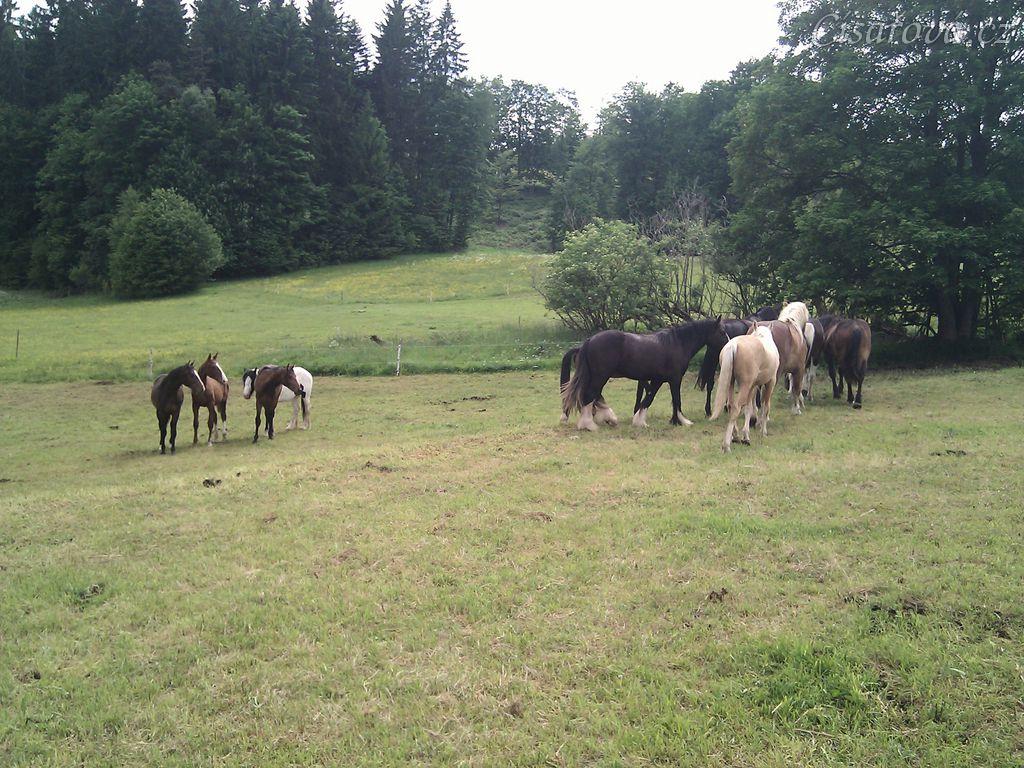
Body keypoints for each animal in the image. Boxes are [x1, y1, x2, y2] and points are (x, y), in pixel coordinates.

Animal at [561, 318, 724, 431]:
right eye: (722, 332)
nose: (728, 343)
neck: (677, 343)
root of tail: (588, 342)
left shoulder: (658, 380)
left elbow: (648, 399)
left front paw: (640, 421)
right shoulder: (675, 379)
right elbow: (676, 400)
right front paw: (683, 422)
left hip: (597, 377)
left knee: (593, 396)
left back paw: (605, 419)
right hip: (600, 376)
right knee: (589, 396)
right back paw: (589, 425)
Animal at [710, 323, 780, 452]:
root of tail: (734, 345)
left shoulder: (753, 386)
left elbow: (749, 408)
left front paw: (746, 436)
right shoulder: (770, 382)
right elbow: (765, 407)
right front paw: (763, 432)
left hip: (732, 383)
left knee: (730, 405)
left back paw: (736, 436)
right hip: (745, 385)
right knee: (736, 407)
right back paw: (726, 445)